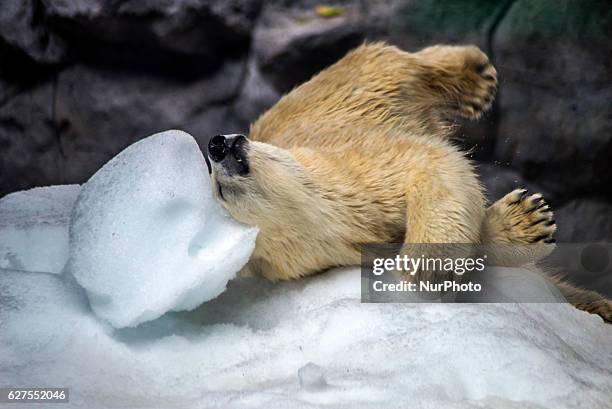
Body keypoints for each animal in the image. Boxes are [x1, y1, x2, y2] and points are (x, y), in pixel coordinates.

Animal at [208, 42, 608, 322]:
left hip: (352, 84)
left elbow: (429, 163)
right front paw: (524, 222)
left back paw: (475, 73)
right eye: (220, 188)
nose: (218, 144)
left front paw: (426, 264)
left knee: (398, 65)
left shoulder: (355, 166)